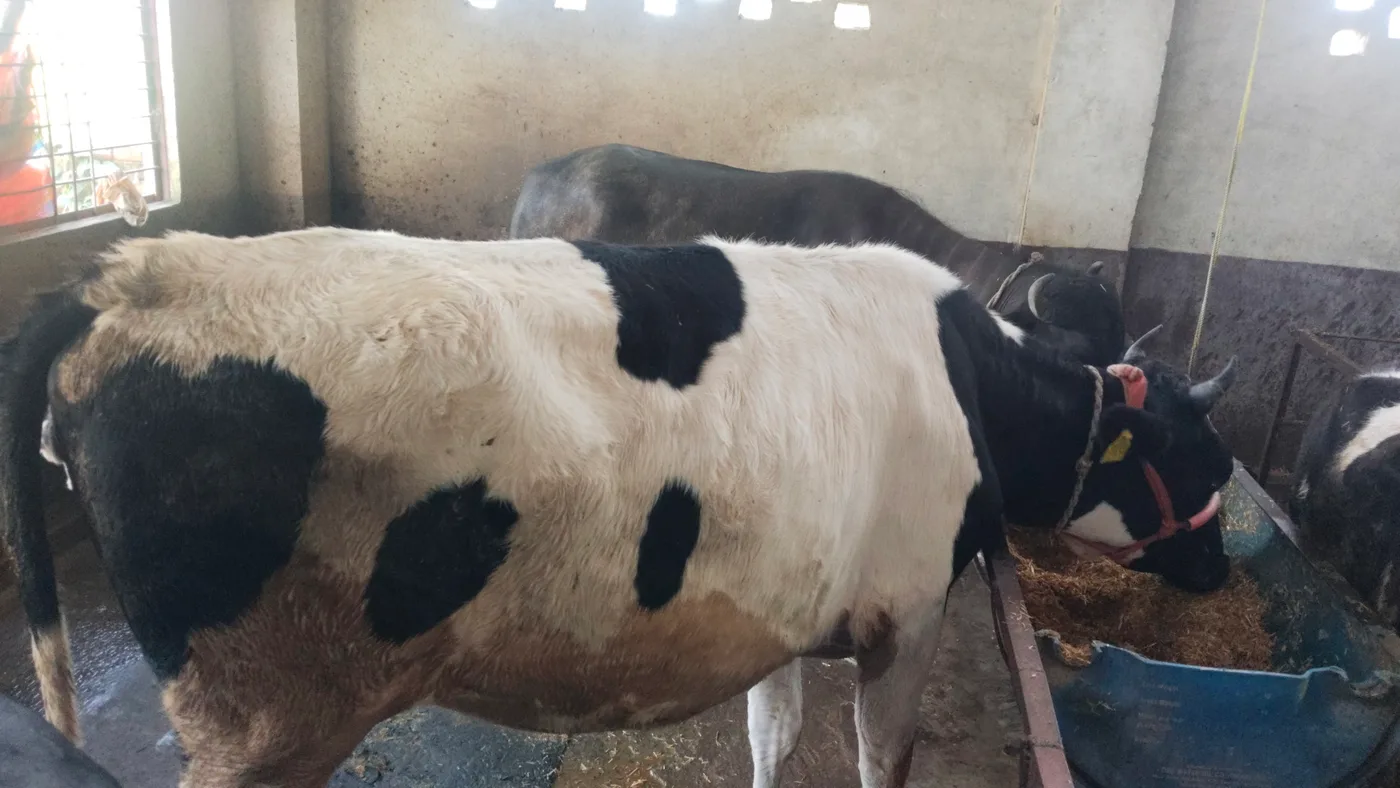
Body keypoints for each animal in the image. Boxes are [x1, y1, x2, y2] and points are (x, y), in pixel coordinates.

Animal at [0, 227, 1236, 788]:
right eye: (1200, 456)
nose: (1221, 571)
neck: (971, 375)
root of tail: (133, 273)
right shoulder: (910, 614)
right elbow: (879, 758)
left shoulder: (783, 604)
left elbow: (773, 734)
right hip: (263, 716)